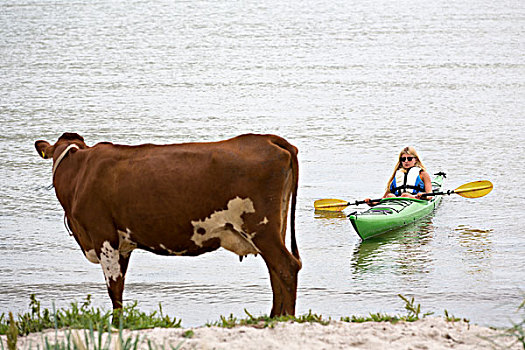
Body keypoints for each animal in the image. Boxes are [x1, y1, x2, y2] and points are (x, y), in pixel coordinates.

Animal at [34, 132, 300, 318]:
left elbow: (114, 288)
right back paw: (275, 318)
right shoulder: (123, 244)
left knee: (286, 267)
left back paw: (284, 320)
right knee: (276, 271)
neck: (80, 172)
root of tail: (268, 139)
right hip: (275, 228)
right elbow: (120, 285)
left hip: (261, 228)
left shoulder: (102, 234)